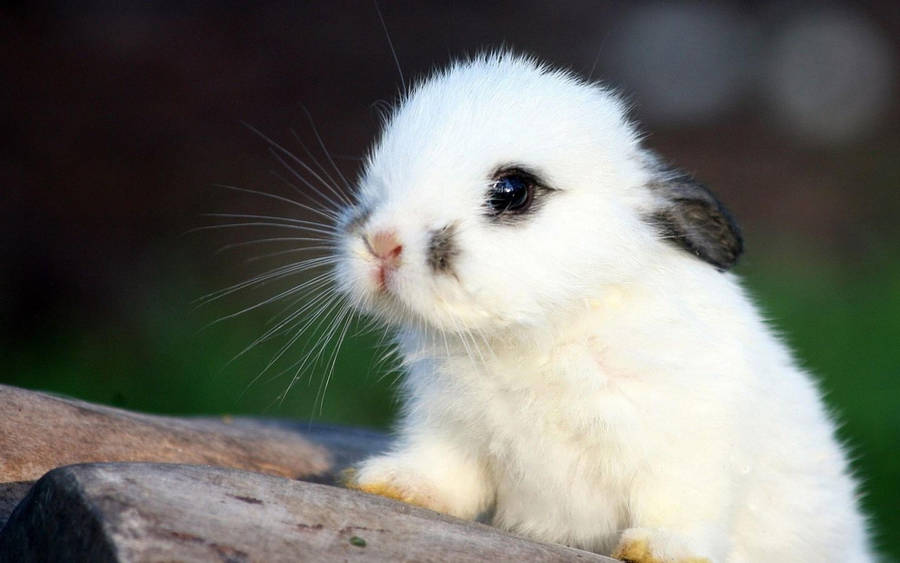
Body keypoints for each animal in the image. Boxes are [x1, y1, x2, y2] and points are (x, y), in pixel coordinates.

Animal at [333, 52, 872, 562]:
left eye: (512, 190)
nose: (381, 243)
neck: (540, 334)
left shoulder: (687, 448)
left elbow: (680, 507)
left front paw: (657, 549)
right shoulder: (448, 428)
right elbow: (445, 475)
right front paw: (390, 483)